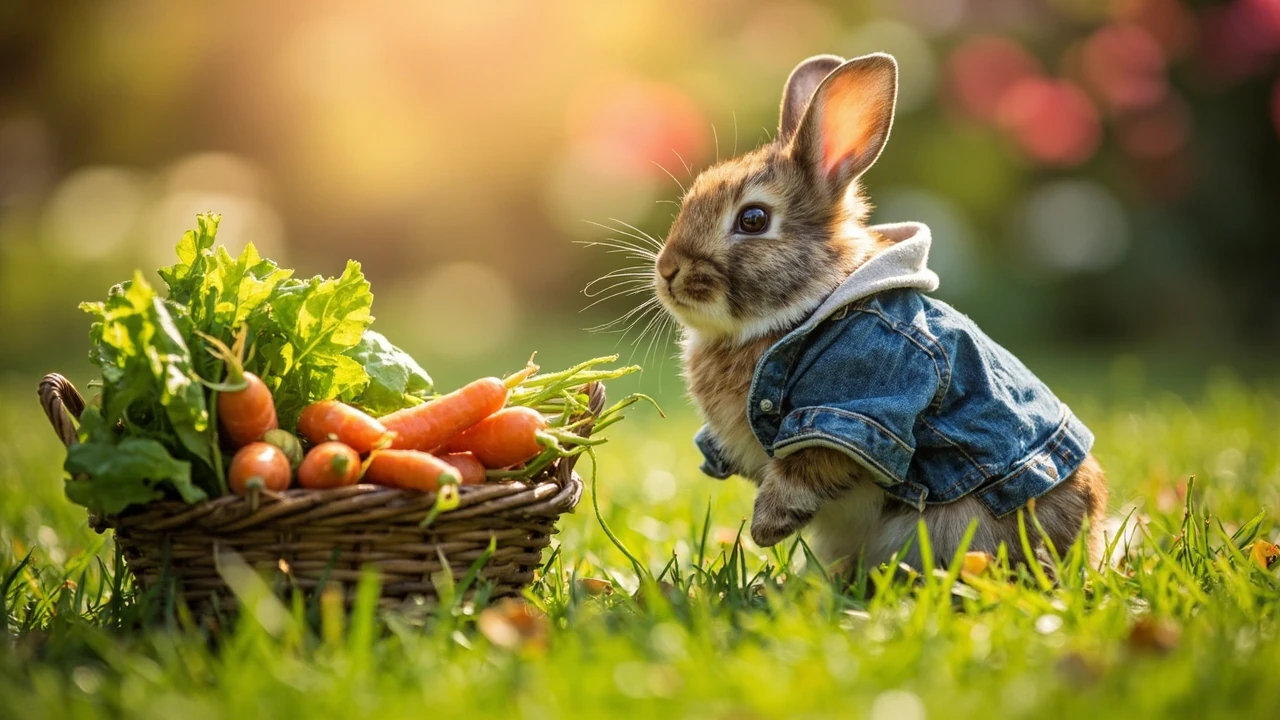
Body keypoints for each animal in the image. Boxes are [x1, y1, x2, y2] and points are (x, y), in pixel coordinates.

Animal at [651, 52, 1109, 572]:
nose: (666, 270)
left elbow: (814, 463)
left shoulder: (865, 404)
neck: (811, 306)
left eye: (753, 219)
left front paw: (767, 527)